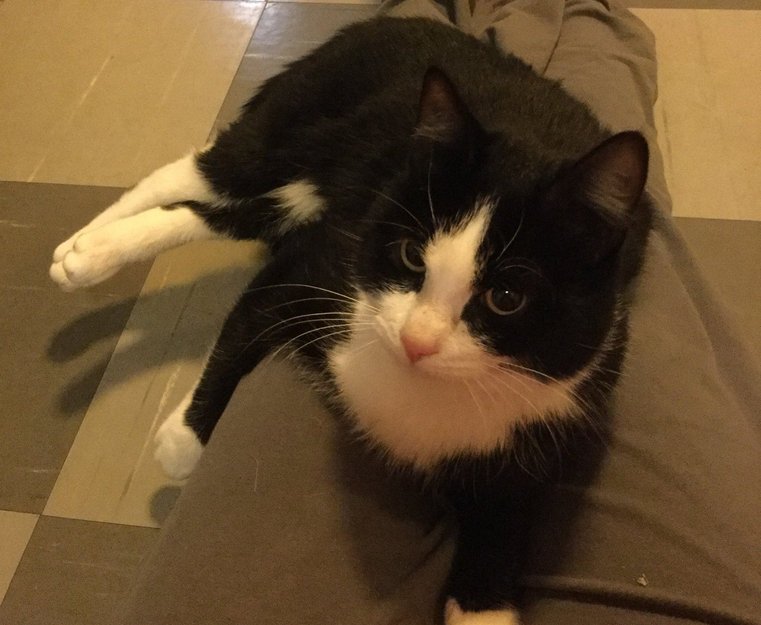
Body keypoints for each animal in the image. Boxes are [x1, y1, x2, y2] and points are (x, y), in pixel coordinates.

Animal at [49, 16, 652, 625]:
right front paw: (184, 439)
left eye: (506, 297)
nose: (416, 341)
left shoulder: (535, 436)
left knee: (235, 211)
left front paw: (483, 602)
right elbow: (248, 317)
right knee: (195, 174)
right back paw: (87, 247)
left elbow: (499, 537)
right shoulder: (325, 258)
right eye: (411, 256)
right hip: (299, 126)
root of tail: (388, 21)